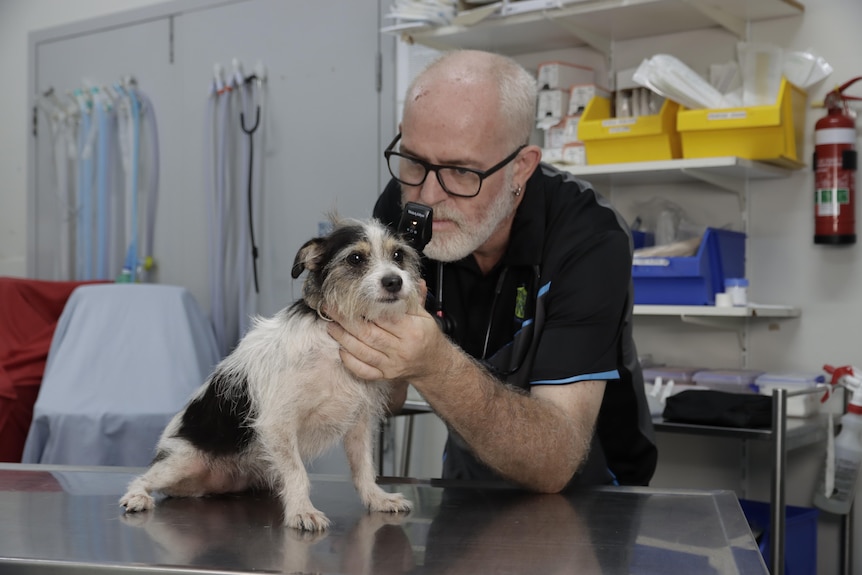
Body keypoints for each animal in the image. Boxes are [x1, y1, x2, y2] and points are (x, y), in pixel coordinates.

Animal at [119, 217, 422, 532]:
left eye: (398, 255)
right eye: (356, 258)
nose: (394, 281)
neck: (333, 344)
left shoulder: (359, 423)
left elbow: (363, 467)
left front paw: (377, 498)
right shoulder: (278, 423)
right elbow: (297, 471)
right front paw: (302, 510)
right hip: (180, 461)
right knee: (144, 477)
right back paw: (137, 496)